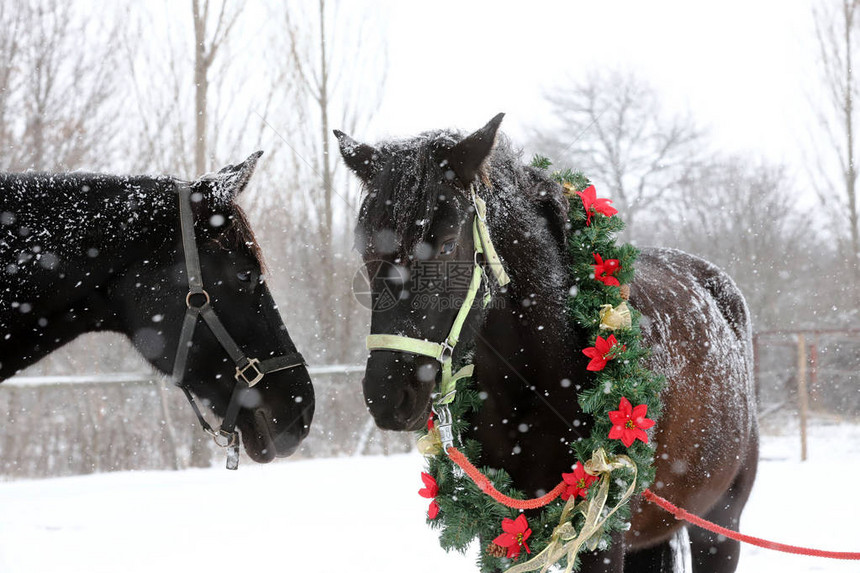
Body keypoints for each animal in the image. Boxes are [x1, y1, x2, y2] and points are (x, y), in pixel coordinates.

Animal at [336, 117, 760, 572]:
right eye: (364, 249)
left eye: (448, 243)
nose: (386, 396)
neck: (536, 384)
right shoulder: (500, 534)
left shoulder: (602, 539)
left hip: (718, 527)